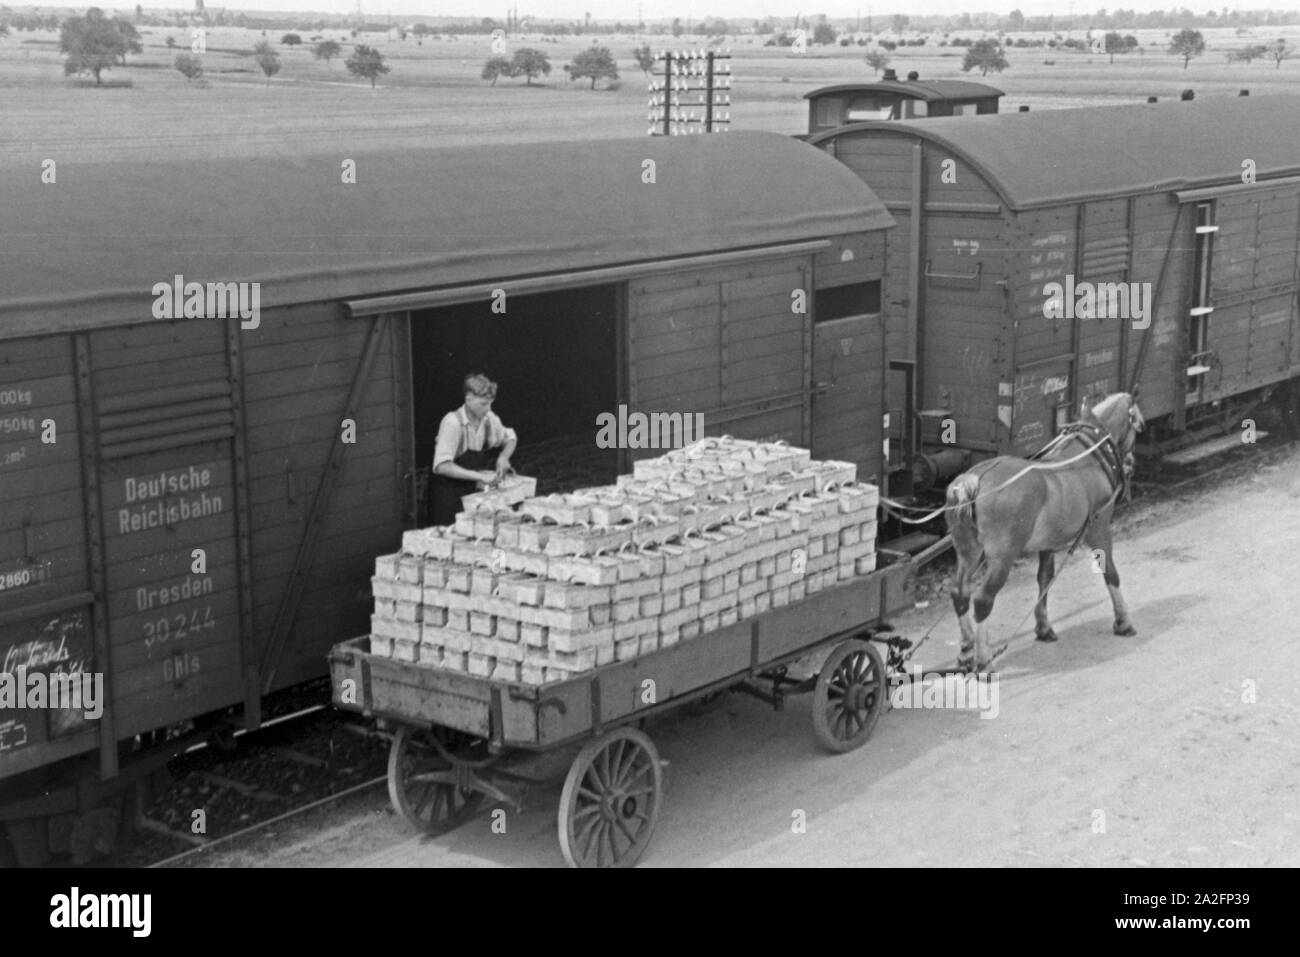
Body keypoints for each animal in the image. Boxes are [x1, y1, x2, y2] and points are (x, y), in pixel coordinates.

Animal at [941, 392, 1144, 670]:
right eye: (1139, 426)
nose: (1131, 463)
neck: (1088, 454)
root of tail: (973, 480)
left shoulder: (1047, 544)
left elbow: (1044, 580)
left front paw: (1044, 627)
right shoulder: (1099, 528)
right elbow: (1110, 573)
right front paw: (1123, 621)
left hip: (968, 551)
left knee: (959, 592)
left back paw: (965, 649)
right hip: (1002, 556)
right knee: (983, 600)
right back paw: (983, 659)